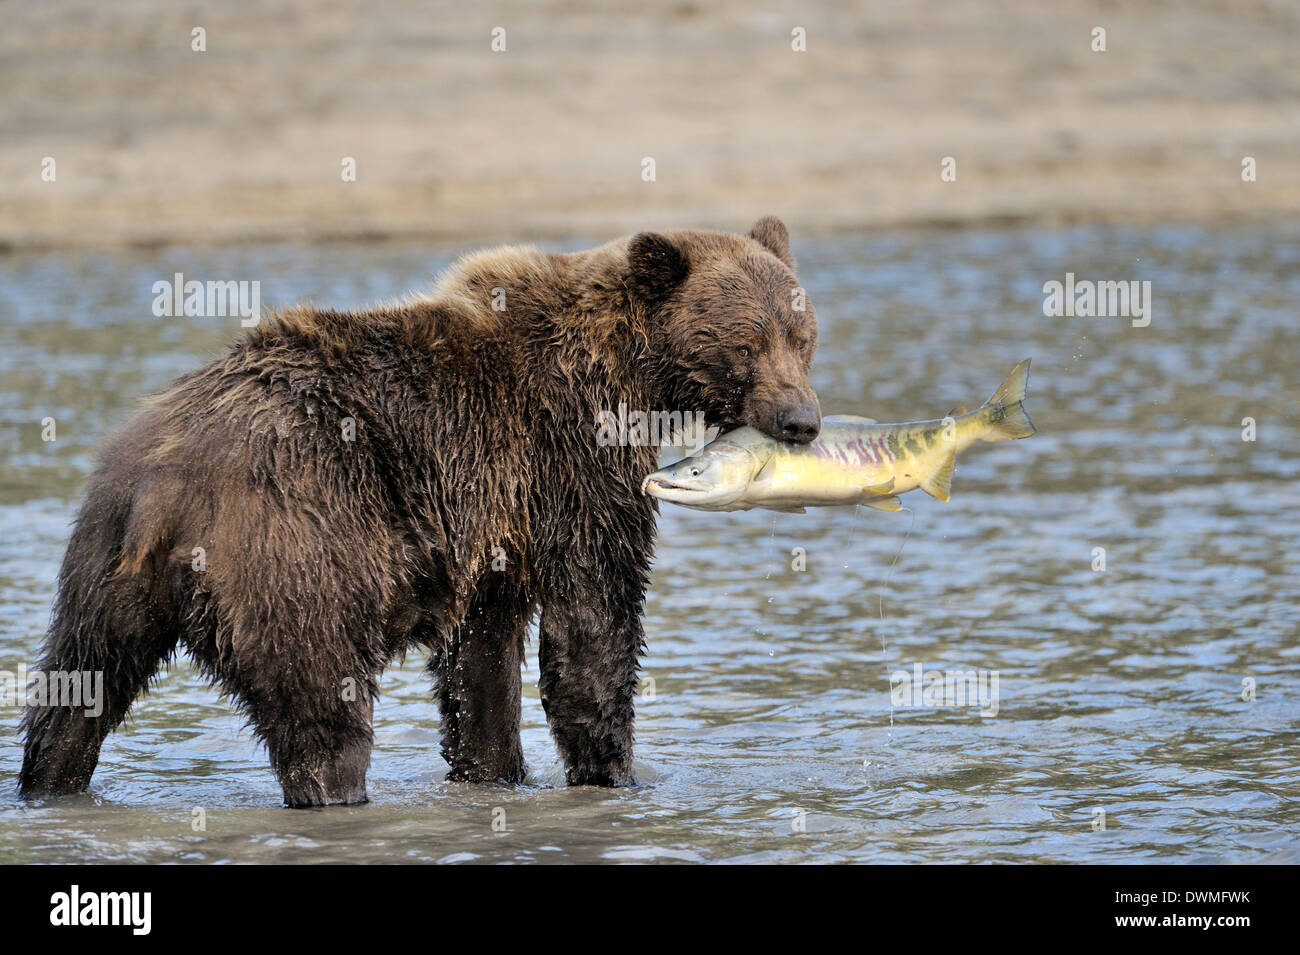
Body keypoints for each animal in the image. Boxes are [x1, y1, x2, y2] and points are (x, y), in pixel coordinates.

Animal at [20, 216, 821, 805]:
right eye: (745, 341)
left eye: (803, 336)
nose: (801, 419)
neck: (632, 370)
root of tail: (166, 483)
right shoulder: (569, 454)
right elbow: (593, 617)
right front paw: (615, 773)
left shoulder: (494, 525)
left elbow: (481, 661)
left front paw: (493, 772)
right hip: (295, 543)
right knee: (323, 704)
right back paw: (336, 792)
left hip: (103, 558)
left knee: (75, 691)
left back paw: (47, 785)